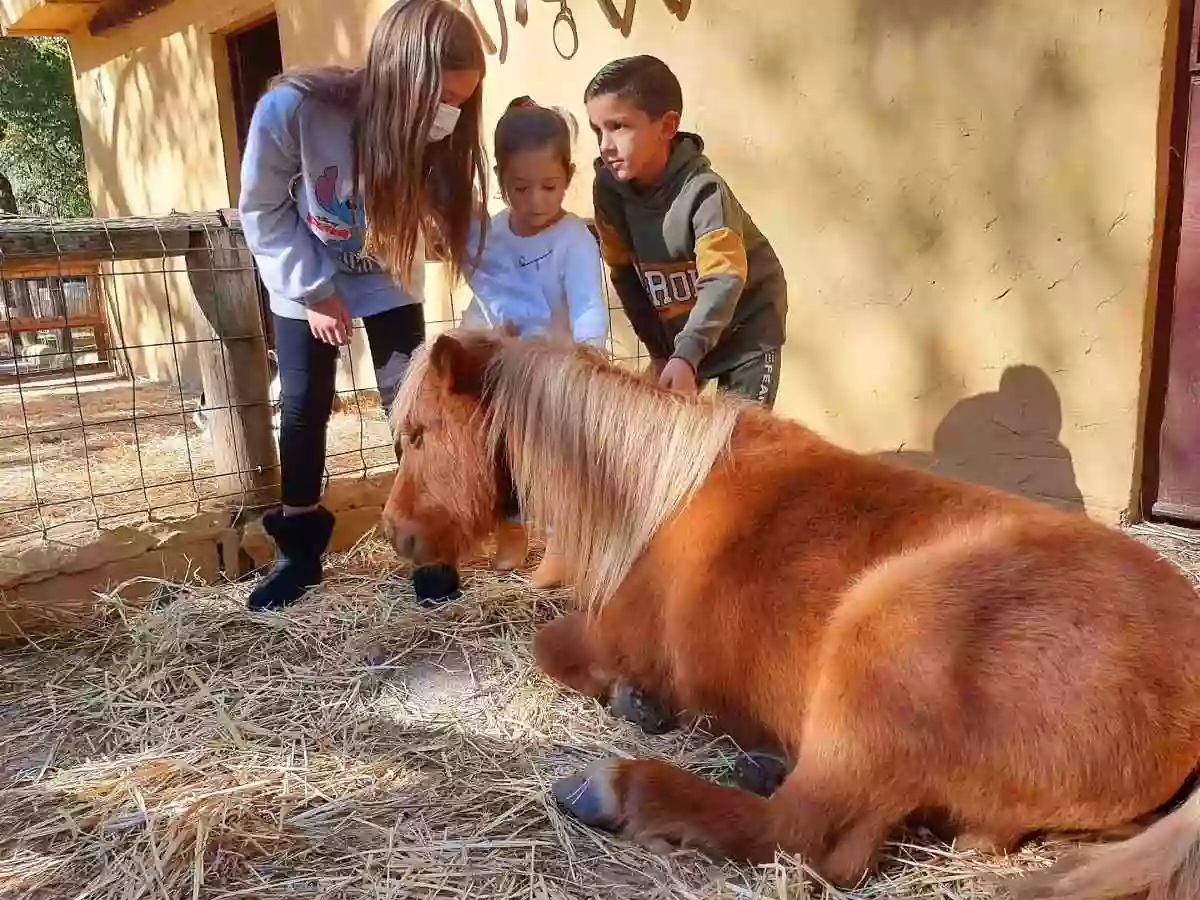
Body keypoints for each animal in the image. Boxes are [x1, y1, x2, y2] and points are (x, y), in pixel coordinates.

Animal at [381, 328, 1200, 897]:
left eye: (419, 434)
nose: (396, 533)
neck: (652, 494)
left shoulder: (607, 634)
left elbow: (548, 646)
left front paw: (633, 701)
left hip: (885, 630)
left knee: (808, 834)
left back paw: (619, 789)